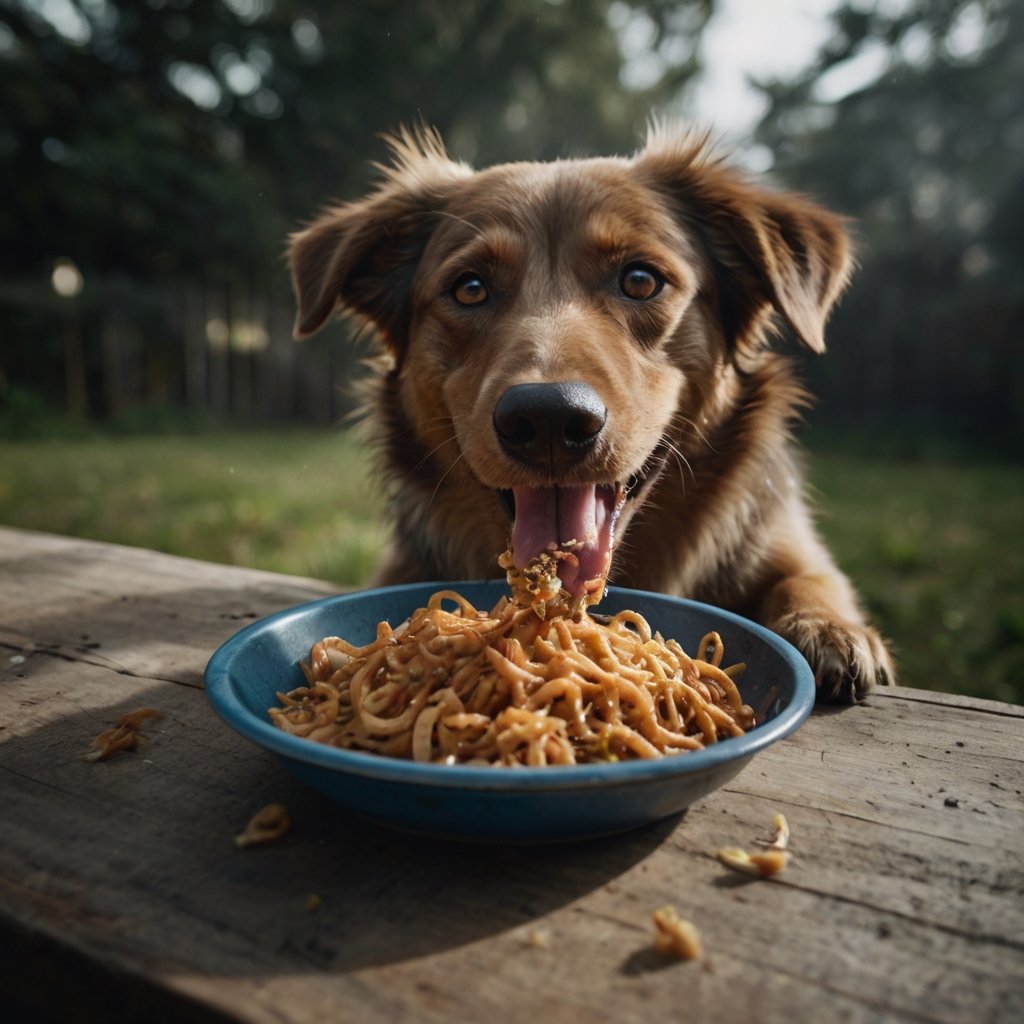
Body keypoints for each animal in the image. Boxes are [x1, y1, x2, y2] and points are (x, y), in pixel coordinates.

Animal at [290, 121, 897, 704]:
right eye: (470, 289)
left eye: (640, 280)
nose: (548, 420)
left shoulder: (785, 545)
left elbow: (809, 578)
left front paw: (824, 626)